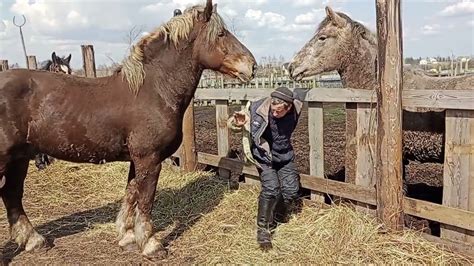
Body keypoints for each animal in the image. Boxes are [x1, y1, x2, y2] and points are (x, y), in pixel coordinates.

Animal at [0, 0, 256, 258]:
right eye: (221, 34)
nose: (252, 66)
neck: (153, 90)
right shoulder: (149, 159)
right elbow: (145, 201)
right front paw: (151, 244)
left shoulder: (137, 160)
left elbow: (131, 195)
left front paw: (128, 237)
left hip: (19, 158)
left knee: (11, 194)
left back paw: (33, 240)